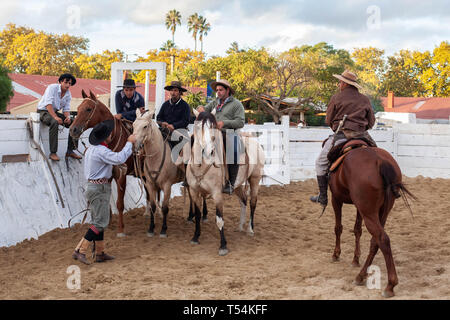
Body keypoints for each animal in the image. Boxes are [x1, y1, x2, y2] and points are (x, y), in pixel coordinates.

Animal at [326, 139, 414, 298]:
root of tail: (380, 161)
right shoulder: (358, 207)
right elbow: (357, 230)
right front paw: (355, 259)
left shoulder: (336, 199)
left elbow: (338, 227)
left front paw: (336, 254)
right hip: (380, 212)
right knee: (376, 241)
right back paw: (361, 276)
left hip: (369, 213)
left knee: (382, 239)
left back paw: (390, 285)